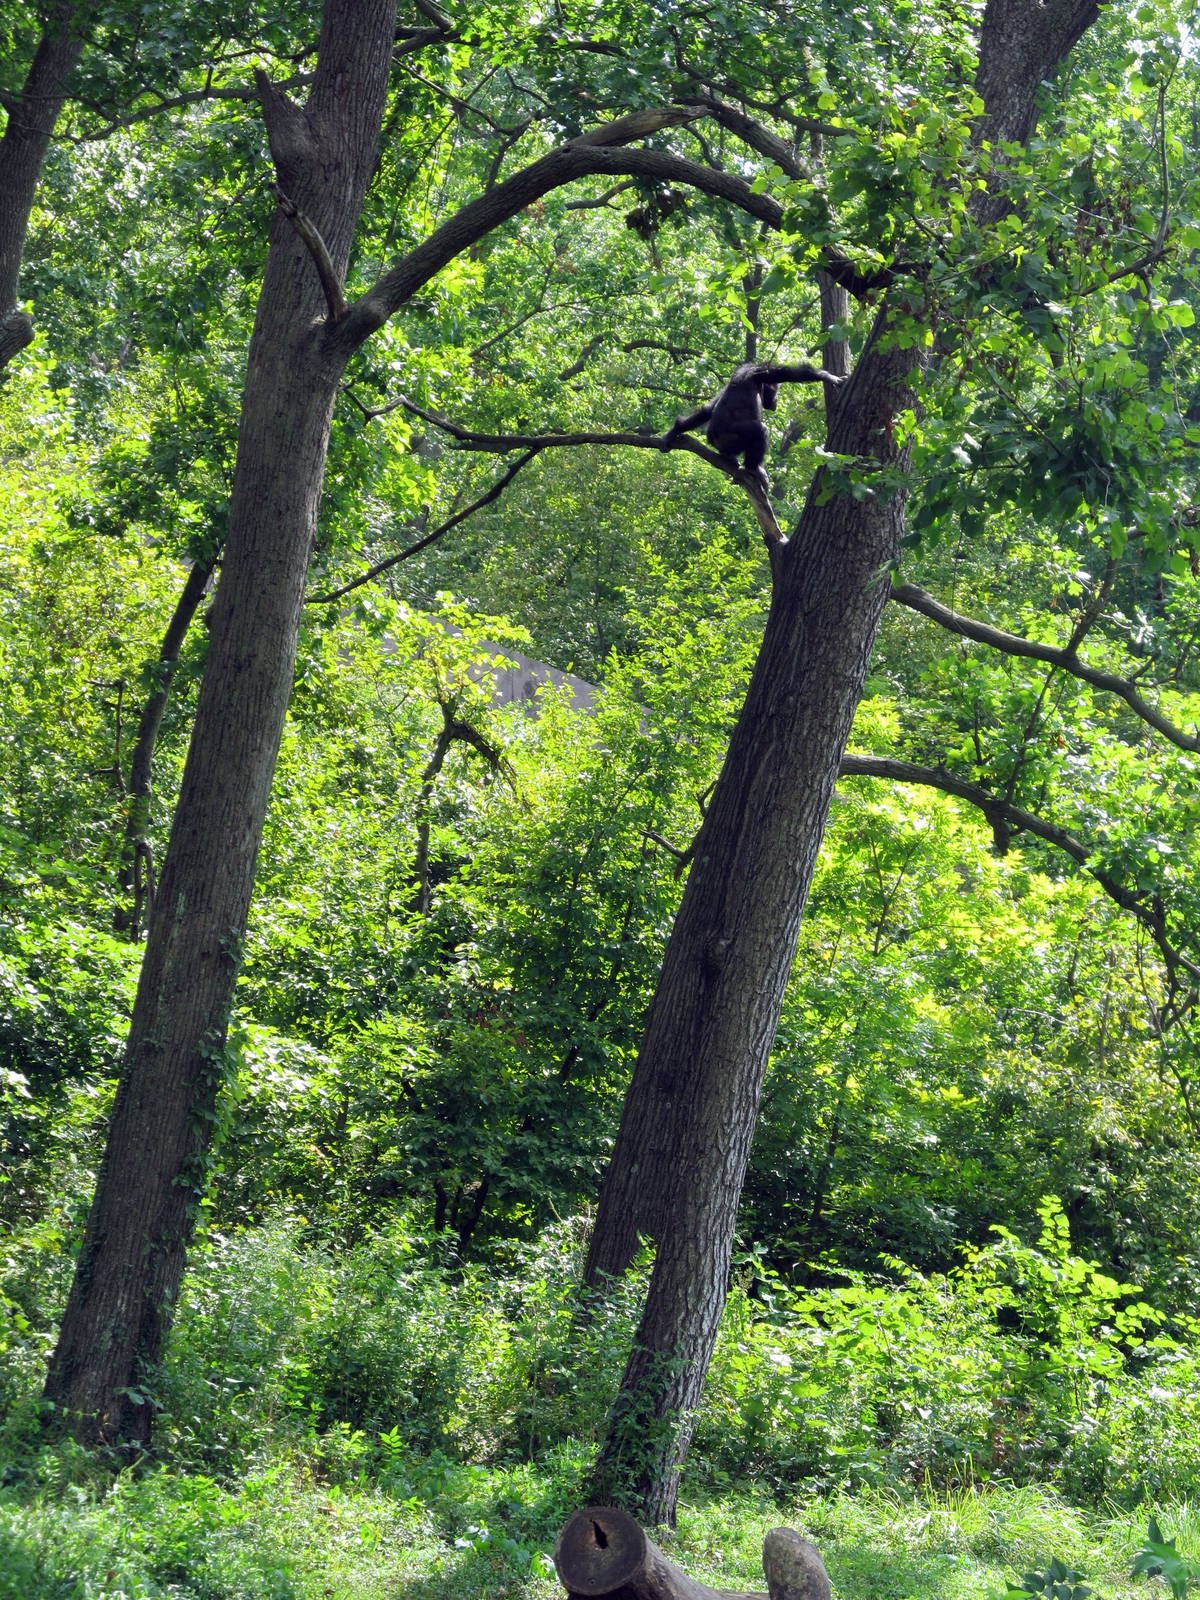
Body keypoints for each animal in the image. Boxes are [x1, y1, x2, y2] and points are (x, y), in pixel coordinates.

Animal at [667, 361, 844, 494]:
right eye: (775, 391)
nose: (775, 401)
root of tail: (714, 440)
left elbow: (708, 409)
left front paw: (675, 430)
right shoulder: (760, 373)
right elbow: (788, 373)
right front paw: (829, 377)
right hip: (732, 439)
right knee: (761, 430)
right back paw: (754, 469)